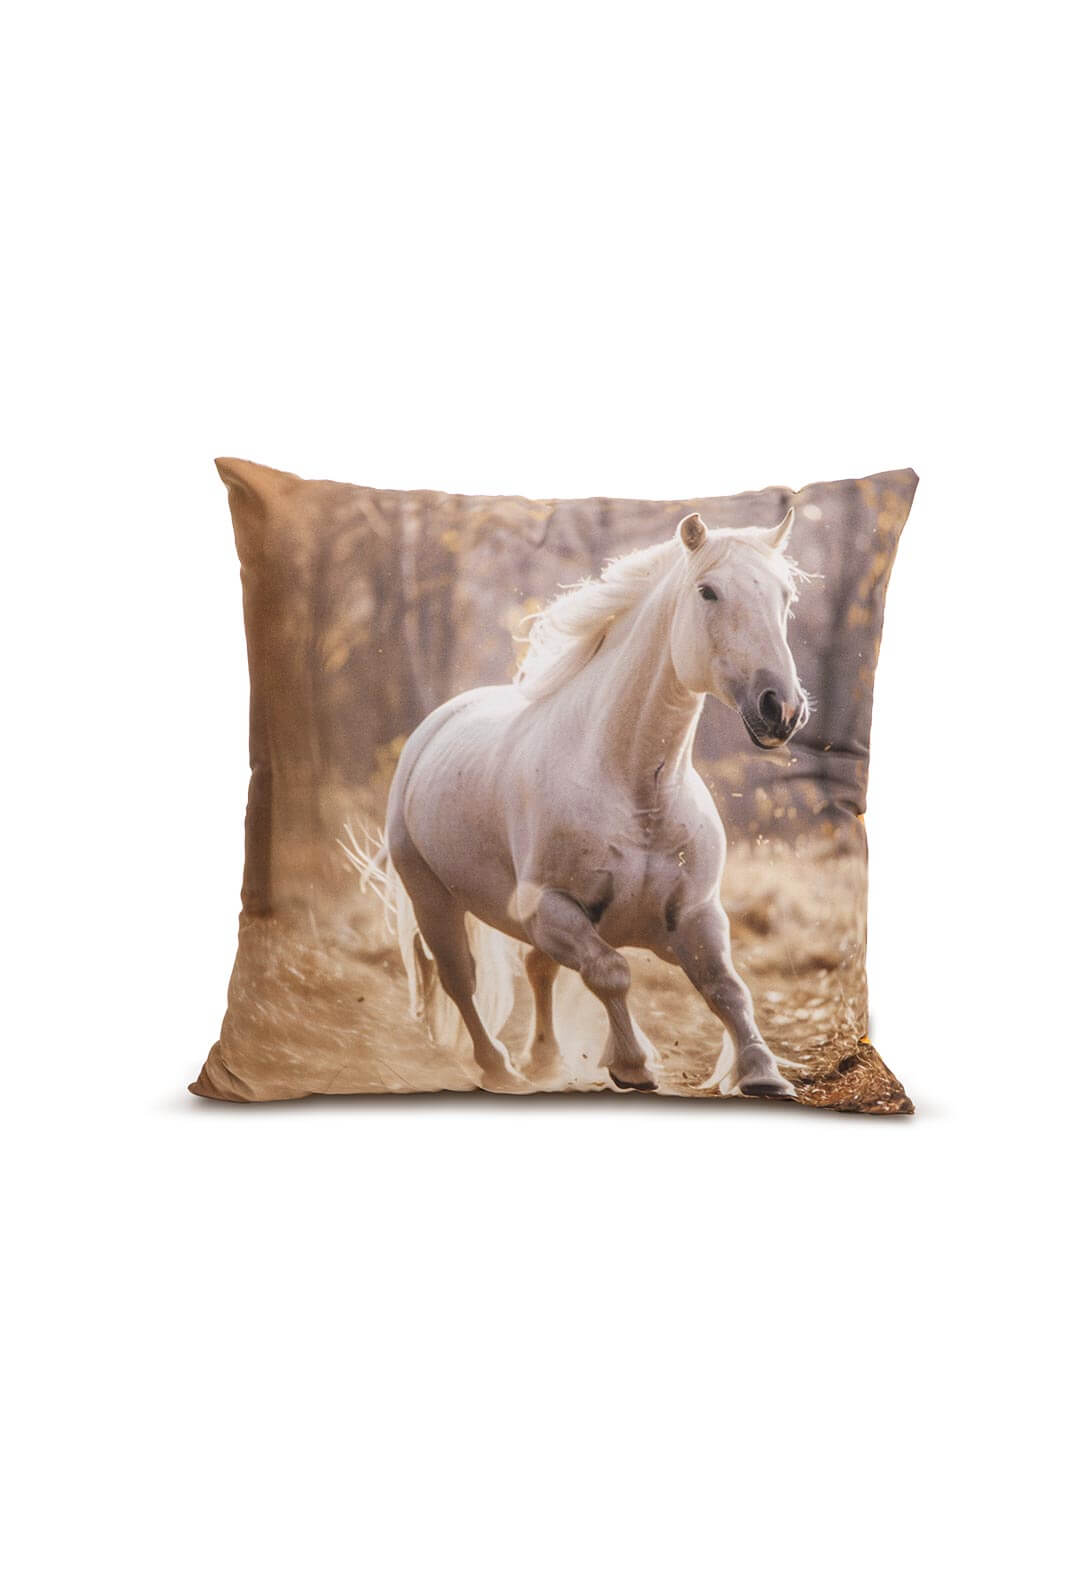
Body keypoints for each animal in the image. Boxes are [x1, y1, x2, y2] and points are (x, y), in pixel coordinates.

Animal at [356, 505, 810, 1096]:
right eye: (708, 591)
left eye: (785, 596)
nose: (781, 708)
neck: (637, 792)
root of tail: (434, 726)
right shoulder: (551, 908)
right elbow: (611, 972)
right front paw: (632, 1065)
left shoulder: (695, 914)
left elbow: (726, 988)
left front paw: (762, 1073)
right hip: (433, 897)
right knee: (462, 981)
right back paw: (498, 1066)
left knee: (536, 970)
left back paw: (544, 1058)